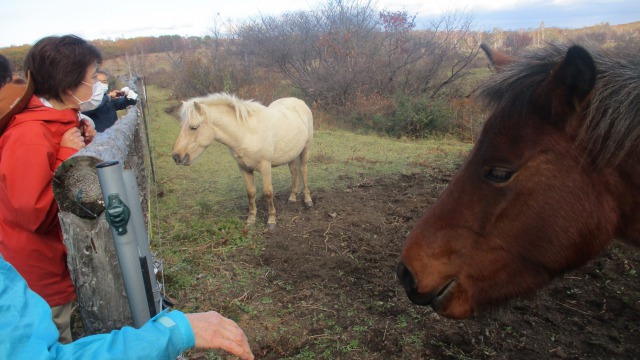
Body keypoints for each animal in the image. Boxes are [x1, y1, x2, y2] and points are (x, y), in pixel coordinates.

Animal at [171, 92, 314, 228]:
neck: (247, 133)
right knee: (294, 171)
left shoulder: (265, 166)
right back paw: (292, 197)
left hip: (306, 148)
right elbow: (250, 193)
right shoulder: (244, 167)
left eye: (193, 127)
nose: (176, 157)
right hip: (291, 153)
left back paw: (308, 200)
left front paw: (271, 220)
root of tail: (299, 101)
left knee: (303, 171)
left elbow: (268, 192)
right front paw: (251, 220)